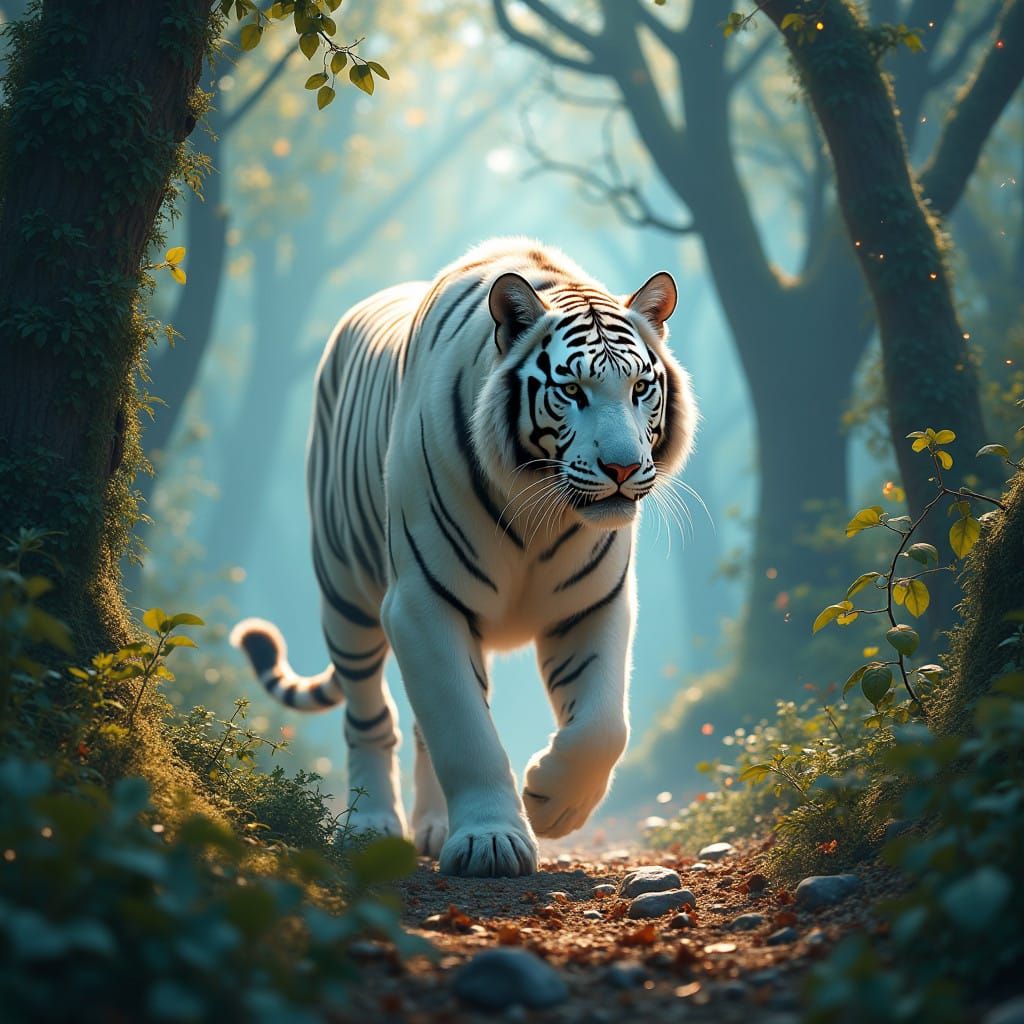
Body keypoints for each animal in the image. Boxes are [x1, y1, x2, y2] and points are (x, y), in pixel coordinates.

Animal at [232, 238, 697, 877]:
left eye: (639, 390)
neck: (540, 510)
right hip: (344, 593)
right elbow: (464, 730)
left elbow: (603, 726)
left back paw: (432, 825)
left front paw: (551, 802)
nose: (623, 468)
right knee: (370, 717)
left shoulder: (591, 603)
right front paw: (491, 841)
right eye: (572, 391)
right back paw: (371, 826)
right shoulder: (422, 603)